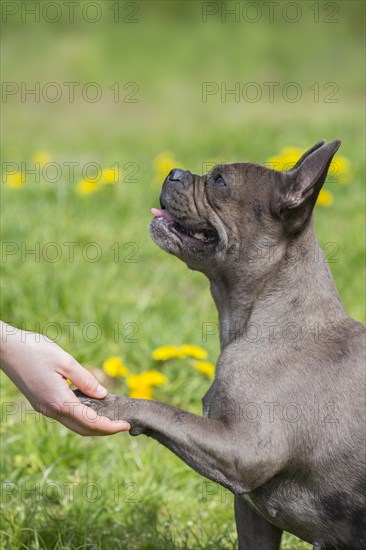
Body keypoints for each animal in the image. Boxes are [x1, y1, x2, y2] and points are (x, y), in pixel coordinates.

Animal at [75, 141, 366, 550]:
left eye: (220, 181)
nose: (175, 172)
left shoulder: (243, 450)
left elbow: (166, 411)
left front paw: (111, 404)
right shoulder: (253, 513)